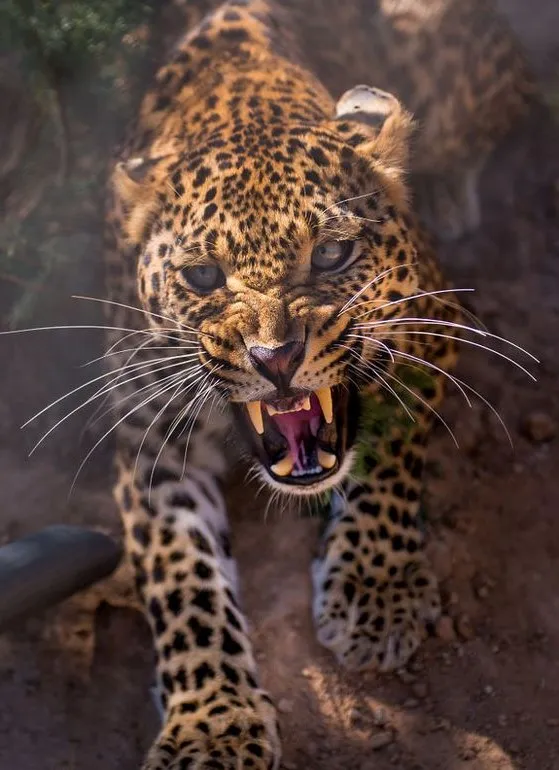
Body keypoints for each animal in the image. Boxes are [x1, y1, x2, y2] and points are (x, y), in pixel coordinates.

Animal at [101, 1, 535, 767]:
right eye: (203, 276)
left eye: (331, 254)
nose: (275, 357)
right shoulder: (147, 435)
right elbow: (181, 577)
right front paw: (211, 722)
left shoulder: (430, 330)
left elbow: (388, 459)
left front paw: (374, 593)